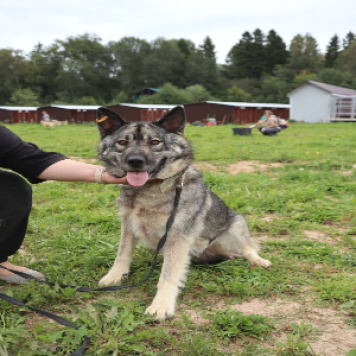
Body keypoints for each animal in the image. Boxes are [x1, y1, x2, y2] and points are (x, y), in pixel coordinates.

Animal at [96, 105, 272, 320]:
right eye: (122, 142)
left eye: (155, 142)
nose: (135, 161)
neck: (148, 190)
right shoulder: (128, 226)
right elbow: (122, 255)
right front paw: (114, 277)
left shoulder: (176, 236)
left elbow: (168, 275)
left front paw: (161, 305)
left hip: (236, 225)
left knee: (248, 248)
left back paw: (259, 261)